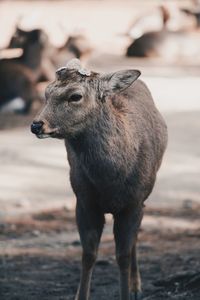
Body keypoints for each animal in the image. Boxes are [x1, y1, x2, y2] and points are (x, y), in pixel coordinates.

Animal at [30, 59, 168, 300]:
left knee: (135, 240)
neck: (109, 181)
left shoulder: (133, 203)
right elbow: (88, 254)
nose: (37, 125)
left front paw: (127, 292)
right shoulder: (84, 201)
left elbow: (122, 255)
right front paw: (80, 295)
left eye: (75, 96)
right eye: (47, 92)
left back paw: (136, 287)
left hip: (143, 198)